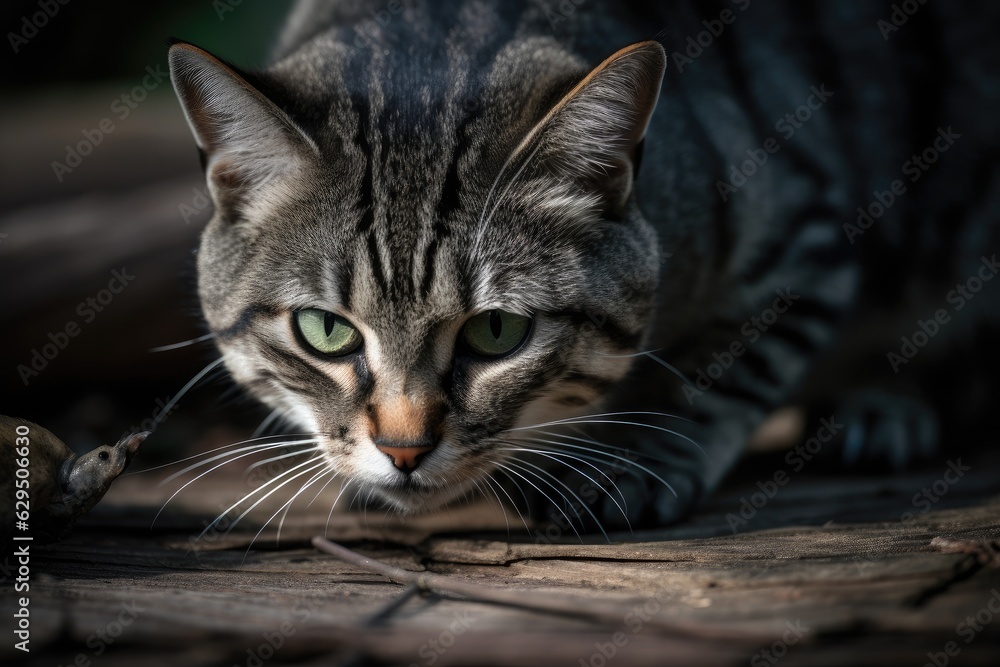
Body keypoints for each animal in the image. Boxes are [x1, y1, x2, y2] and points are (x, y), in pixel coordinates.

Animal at [168, 1, 996, 532]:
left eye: (497, 331)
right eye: (325, 330)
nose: (404, 451)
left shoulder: (805, 226)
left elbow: (714, 372)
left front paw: (628, 458)